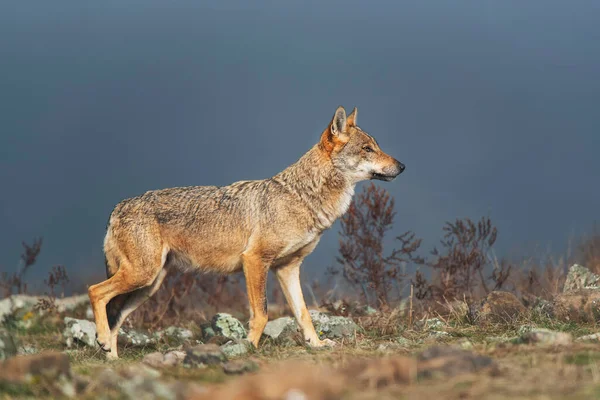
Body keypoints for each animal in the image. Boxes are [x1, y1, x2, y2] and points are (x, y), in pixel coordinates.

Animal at [88, 105, 404, 356]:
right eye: (367, 149)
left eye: (376, 146)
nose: (402, 165)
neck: (303, 198)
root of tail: (118, 207)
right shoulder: (255, 261)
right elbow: (261, 314)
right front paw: (248, 347)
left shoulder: (288, 269)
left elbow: (303, 314)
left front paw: (315, 344)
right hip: (142, 276)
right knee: (96, 292)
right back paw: (102, 341)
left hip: (148, 285)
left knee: (115, 316)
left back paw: (110, 358)